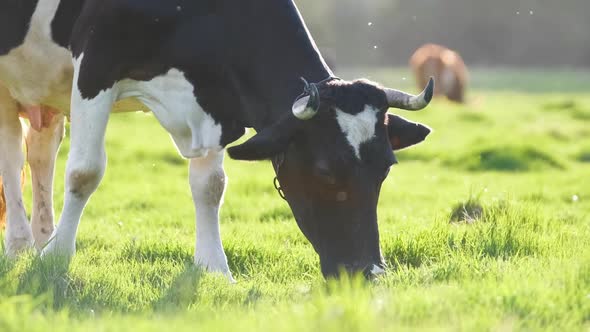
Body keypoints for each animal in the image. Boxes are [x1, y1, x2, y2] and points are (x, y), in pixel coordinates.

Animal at [0, 0, 434, 278]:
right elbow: (85, 171)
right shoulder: (97, 60)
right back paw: (21, 245)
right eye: (326, 171)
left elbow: (210, 185)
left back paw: (40, 237)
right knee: (12, 161)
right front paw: (57, 257)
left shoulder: (217, 103)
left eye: (386, 169)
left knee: (39, 155)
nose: (369, 272)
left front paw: (214, 268)